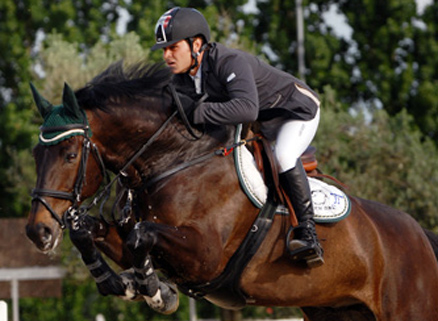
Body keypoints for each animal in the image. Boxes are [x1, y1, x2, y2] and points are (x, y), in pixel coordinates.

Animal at [25, 61, 438, 318]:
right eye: (35, 153)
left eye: (69, 154)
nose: (37, 231)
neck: (174, 158)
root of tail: (420, 235)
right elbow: (94, 234)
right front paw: (124, 282)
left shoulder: (205, 255)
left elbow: (140, 235)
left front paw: (156, 293)